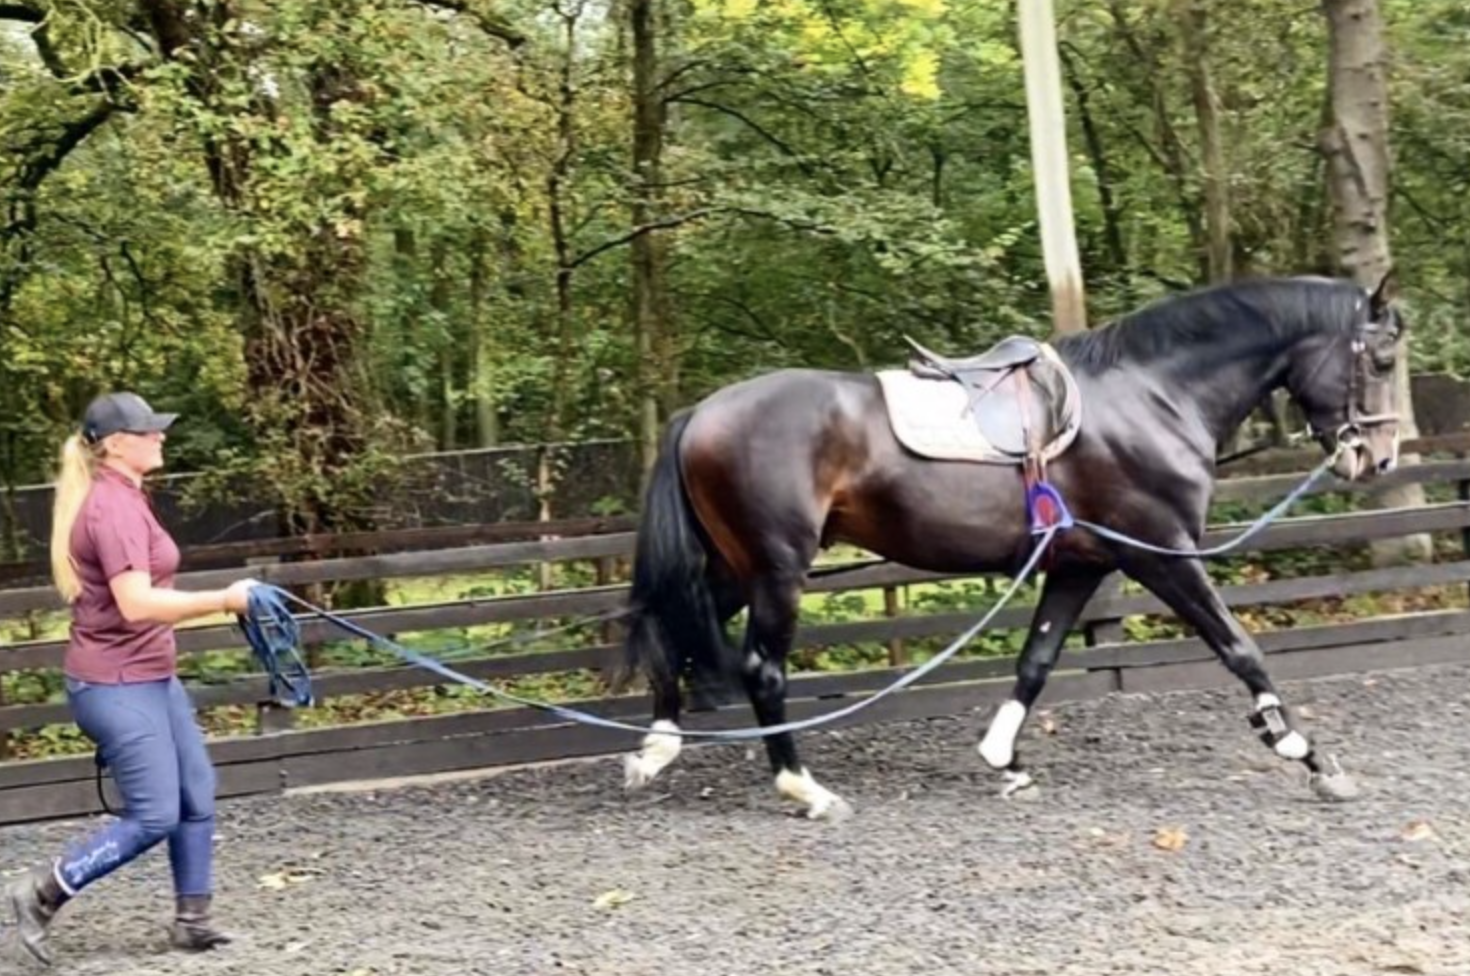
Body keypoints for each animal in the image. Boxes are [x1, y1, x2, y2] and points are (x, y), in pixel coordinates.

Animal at [612, 272, 1404, 820]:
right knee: (762, 669)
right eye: (1384, 359)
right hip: (778, 569)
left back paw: (656, 748)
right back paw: (804, 788)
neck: (1151, 396)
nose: (1378, 458)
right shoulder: (1159, 553)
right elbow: (1241, 649)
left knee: (668, 626)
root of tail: (701, 412)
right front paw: (1305, 753)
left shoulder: (1081, 564)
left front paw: (1006, 760)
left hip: (732, 566)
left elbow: (1037, 661)